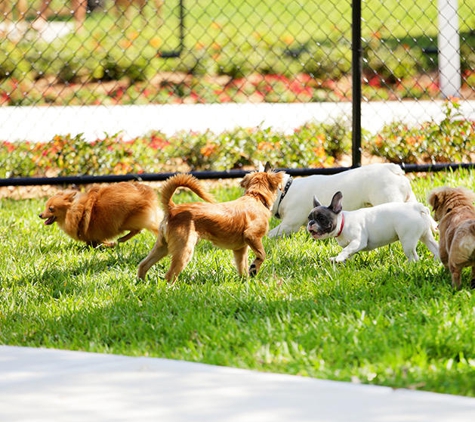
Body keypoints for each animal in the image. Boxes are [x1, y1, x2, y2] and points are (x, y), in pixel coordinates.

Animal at [138, 169, 286, 284]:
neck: (255, 197)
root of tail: (173, 209)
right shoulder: (252, 236)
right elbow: (262, 255)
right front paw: (254, 268)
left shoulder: (240, 249)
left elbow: (242, 266)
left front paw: (246, 281)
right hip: (184, 249)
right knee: (169, 275)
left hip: (162, 246)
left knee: (143, 265)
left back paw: (142, 282)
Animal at [306, 190, 440, 262]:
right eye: (309, 218)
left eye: (321, 218)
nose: (311, 223)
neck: (342, 223)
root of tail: (417, 207)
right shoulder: (353, 246)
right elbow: (349, 252)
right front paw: (341, 261)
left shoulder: (358, 241)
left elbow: (346, 249)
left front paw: (338, 258)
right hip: (425, 235)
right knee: (435, 247)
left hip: (408, 240)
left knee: (414, 257)